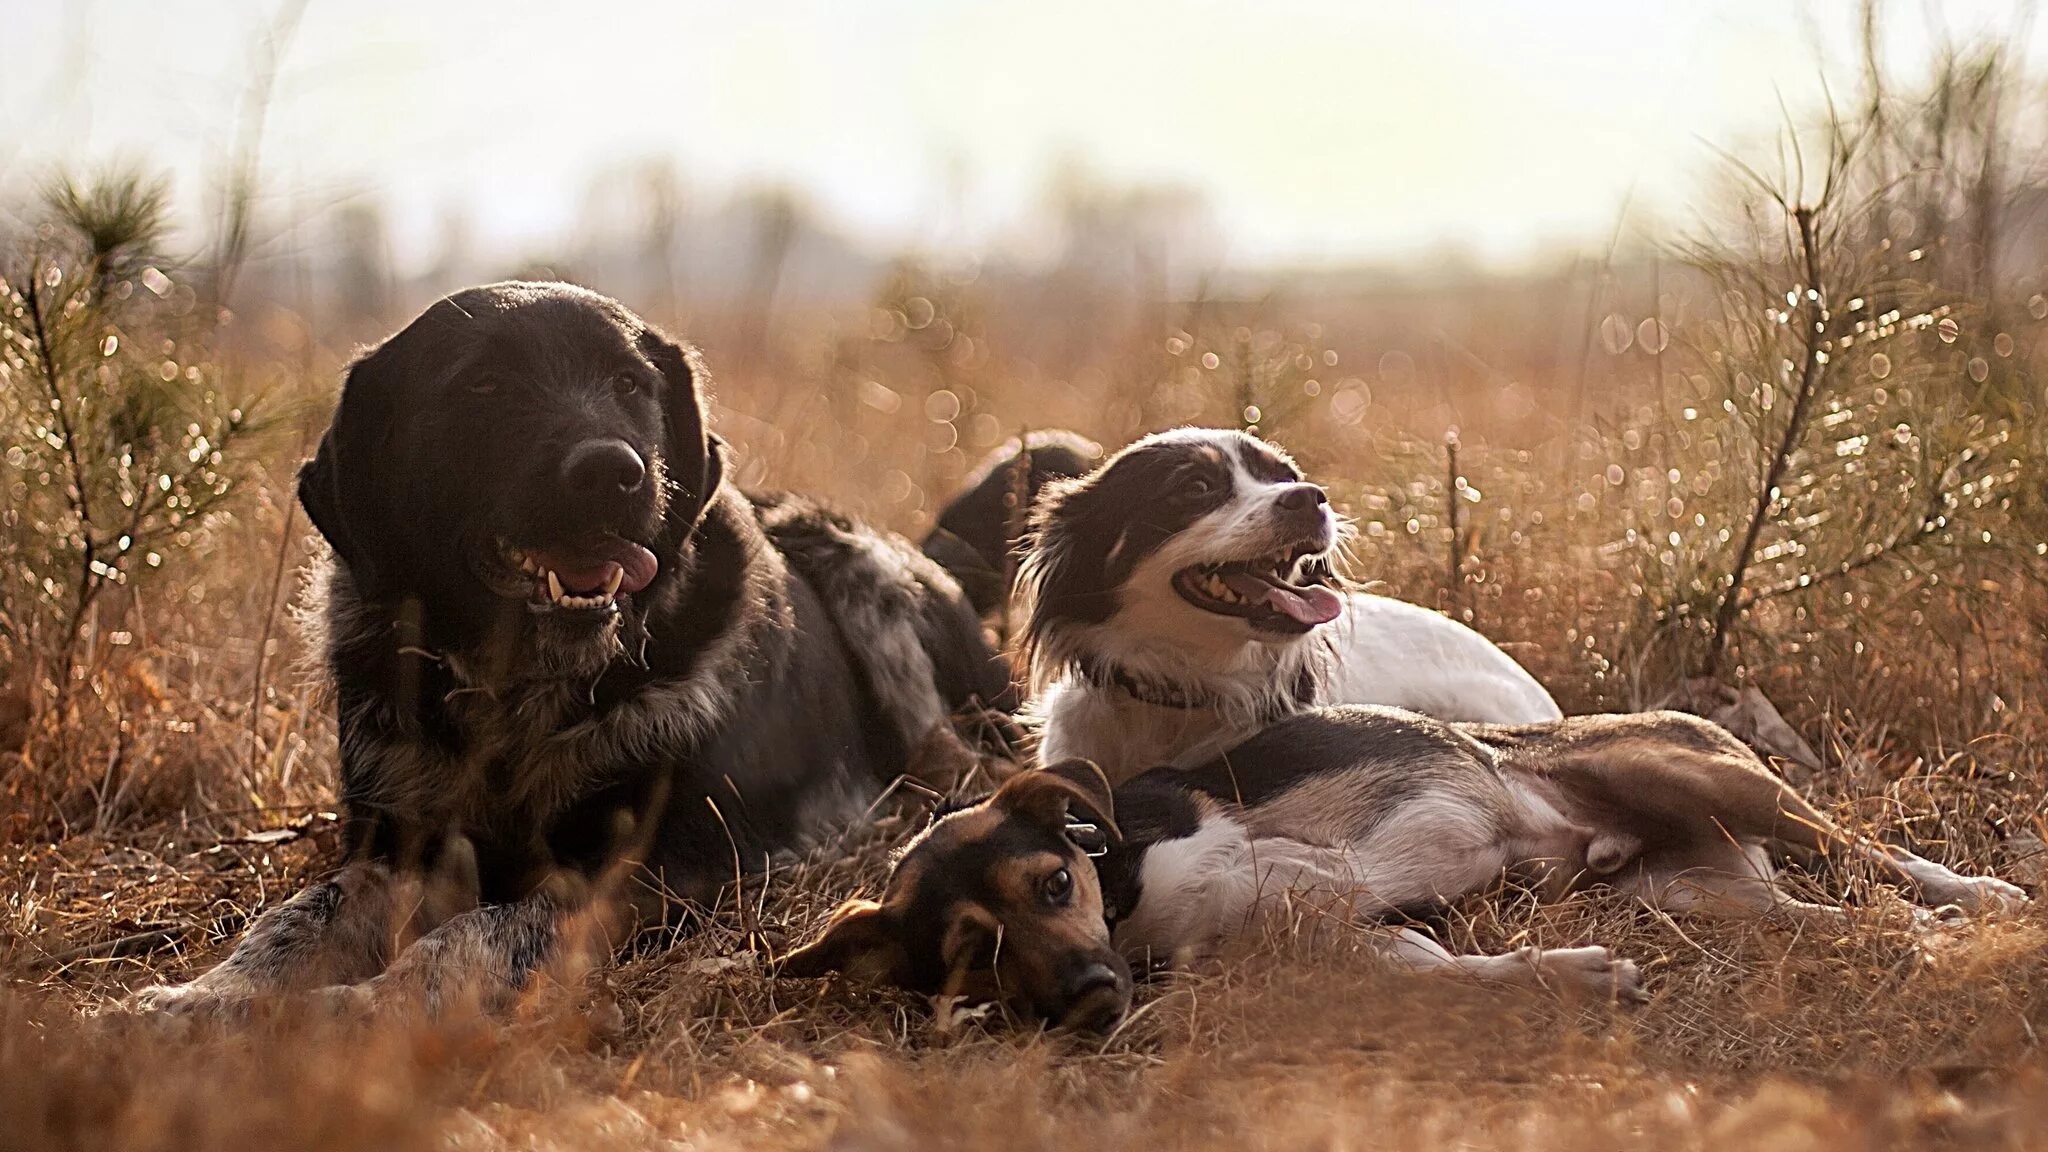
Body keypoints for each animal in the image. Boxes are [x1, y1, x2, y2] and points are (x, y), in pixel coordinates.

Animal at [128, 284, 1007, 1012]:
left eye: (629, 385)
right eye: (482, 386)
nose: (612, 473)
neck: (518, 691)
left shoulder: (643, 876)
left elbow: (475, 936)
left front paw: (366, 1007)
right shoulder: (393, 847)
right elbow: (294, 920)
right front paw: (200, 1000)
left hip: (861, 568)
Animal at [786, 705, 2031, 1024]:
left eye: (1053, 884)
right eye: (971, 957)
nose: (1094, 1000)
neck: (1128, 903)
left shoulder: (1301, 876)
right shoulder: (1358, 947)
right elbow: (1451, 973)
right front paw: (1563, 976)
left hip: (1701, 780)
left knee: (1866, 850)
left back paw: (1976, 897)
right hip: (1694, 894)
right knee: (1820, 916)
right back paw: (1919, 937)